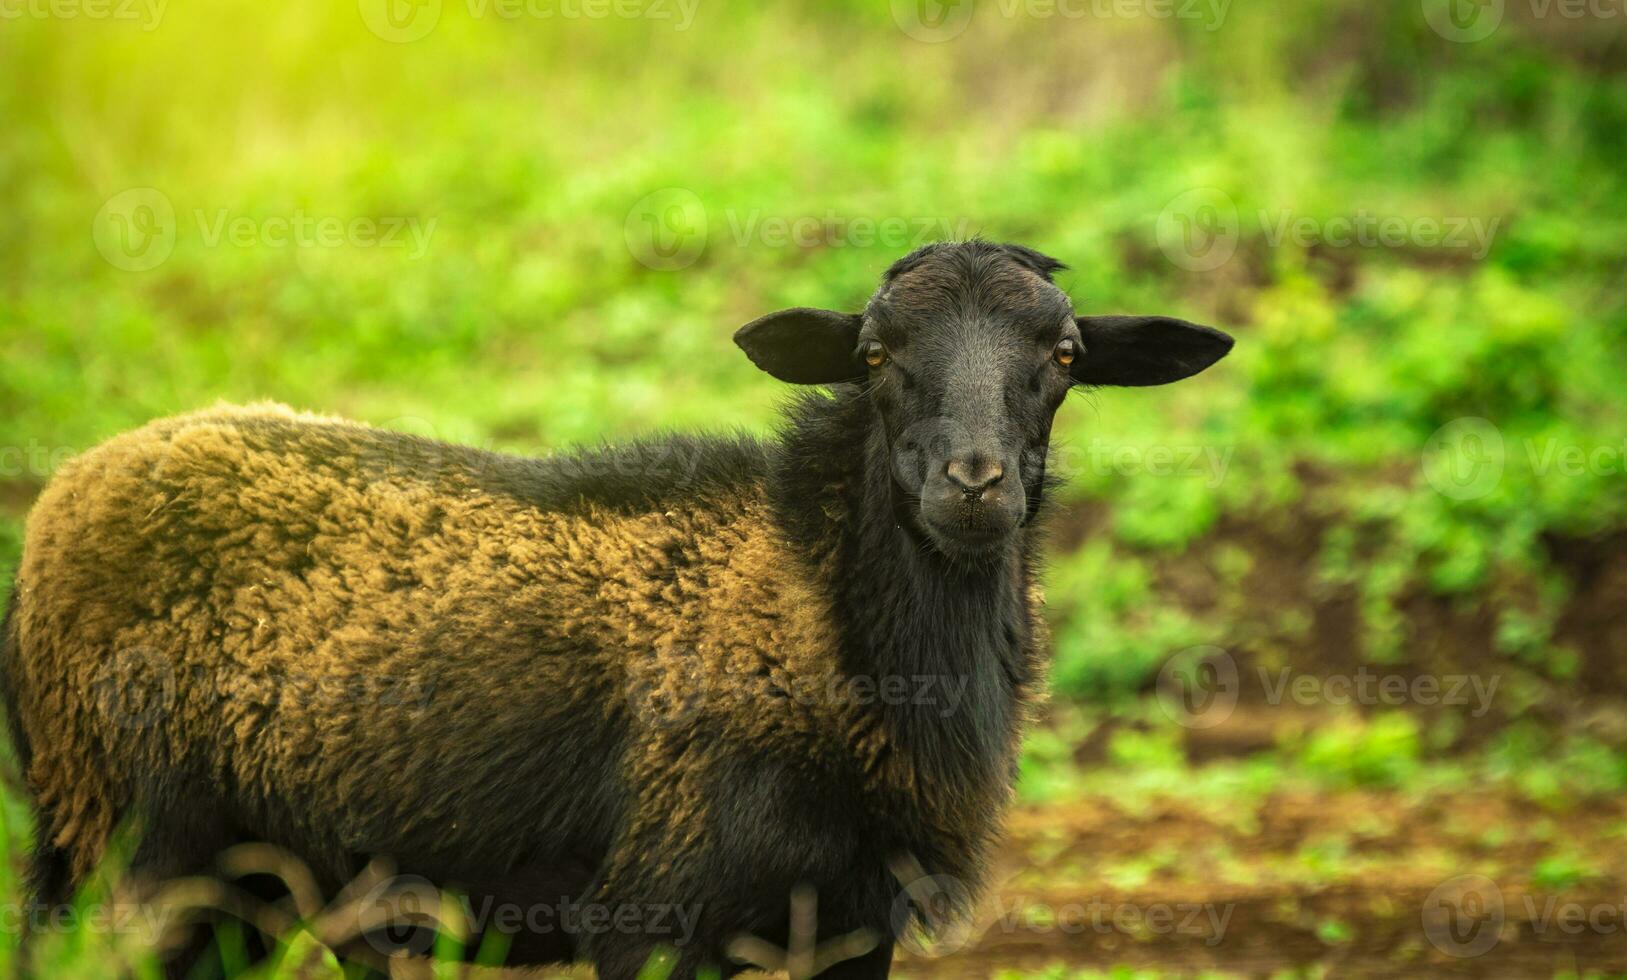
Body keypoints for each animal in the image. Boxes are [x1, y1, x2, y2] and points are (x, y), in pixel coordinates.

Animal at [0, 237, 1223, 976]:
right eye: (875, 354)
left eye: (1063, 354)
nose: (974, 482)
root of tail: (70, 487)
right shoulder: (657, 904)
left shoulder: (851, 920)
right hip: (113, 835)